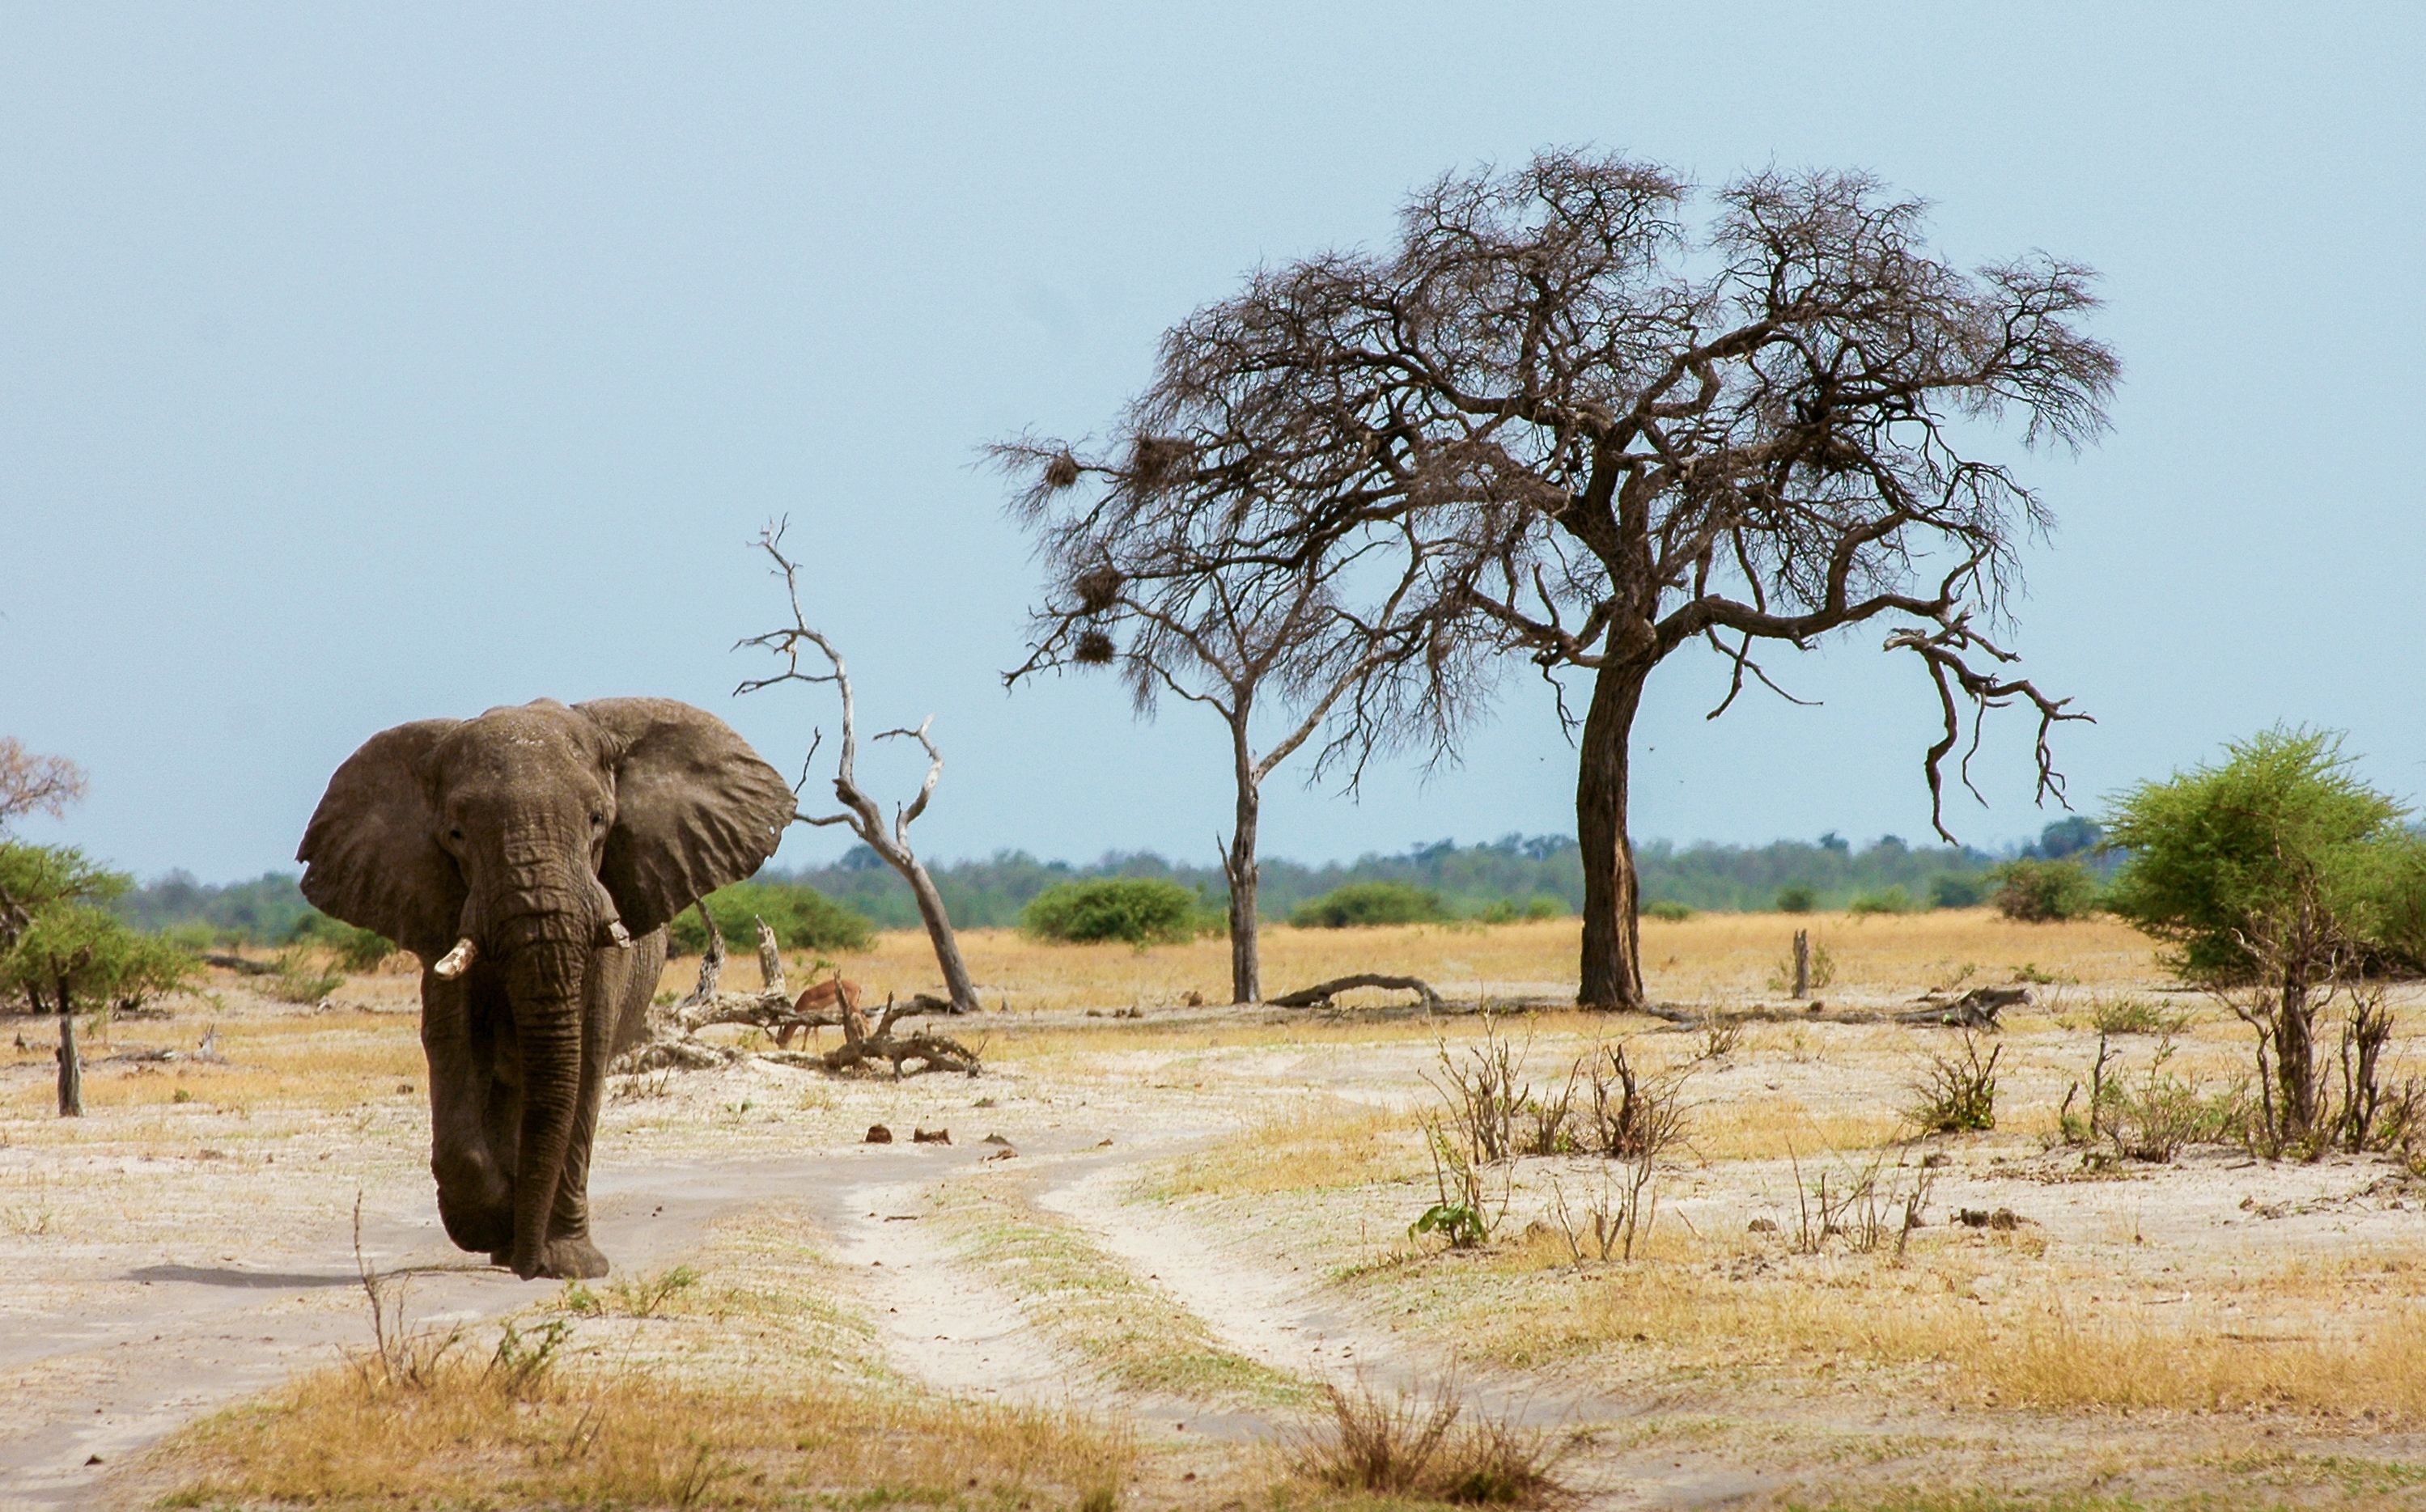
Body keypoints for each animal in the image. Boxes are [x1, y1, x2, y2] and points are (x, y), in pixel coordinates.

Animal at [297, 697, 796, 1279]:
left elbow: (585, 1055)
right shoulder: (438, 909)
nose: (526, 1266)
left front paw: (568, 1263)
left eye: (598, 820)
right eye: (457, 834)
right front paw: (490, 1224)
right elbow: (454, 1043)